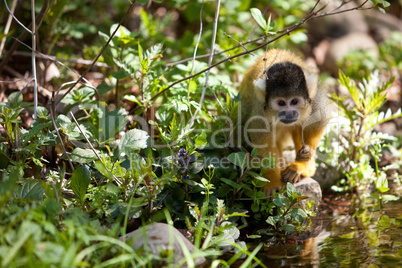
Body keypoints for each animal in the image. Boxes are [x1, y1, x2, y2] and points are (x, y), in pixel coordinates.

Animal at [239, 48, 330, 195]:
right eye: (281, 103)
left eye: (294, 101)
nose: (289, 113)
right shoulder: (260, 106)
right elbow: (260, 136)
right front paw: (271, 179)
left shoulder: (315, 97)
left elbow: (320, 120)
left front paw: (305, 155)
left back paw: (301, 168)